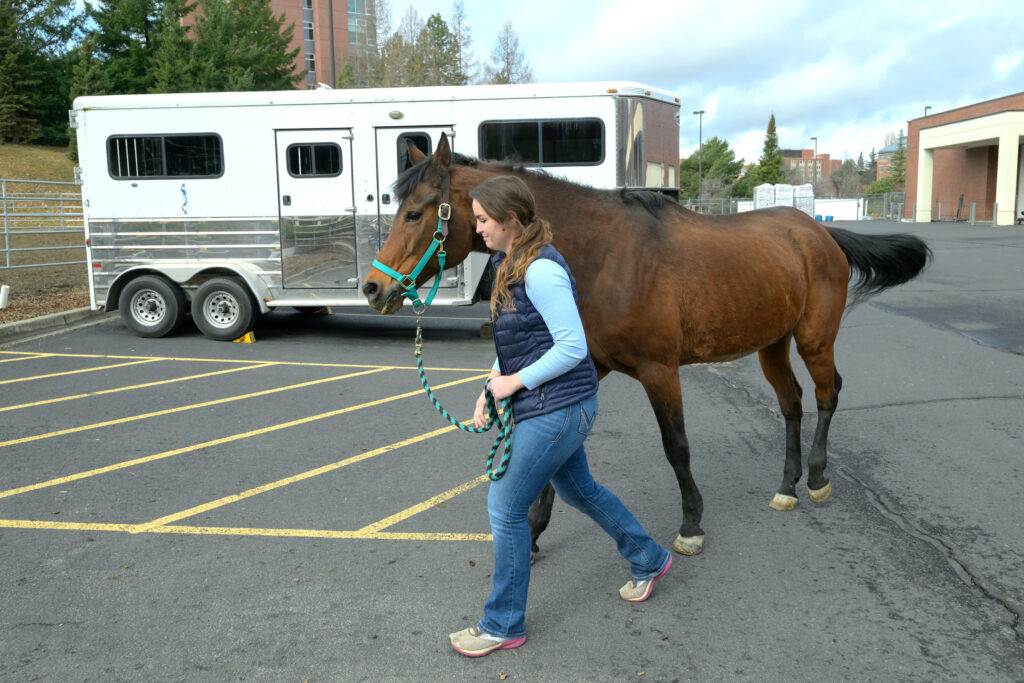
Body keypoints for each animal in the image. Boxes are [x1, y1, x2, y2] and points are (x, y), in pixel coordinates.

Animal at [362, 133, 931, 558]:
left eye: (415, 212)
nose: (373, 288)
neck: (606, 256)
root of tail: (817, 232)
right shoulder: (589, 365)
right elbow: (555, 449)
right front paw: (533, 531)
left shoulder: (660, 370)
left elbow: (676, 447)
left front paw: (691, 525)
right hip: (771, 344)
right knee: (791, 404)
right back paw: (786, 487)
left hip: (814, 338)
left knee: (827, 394)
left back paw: (814, 479)